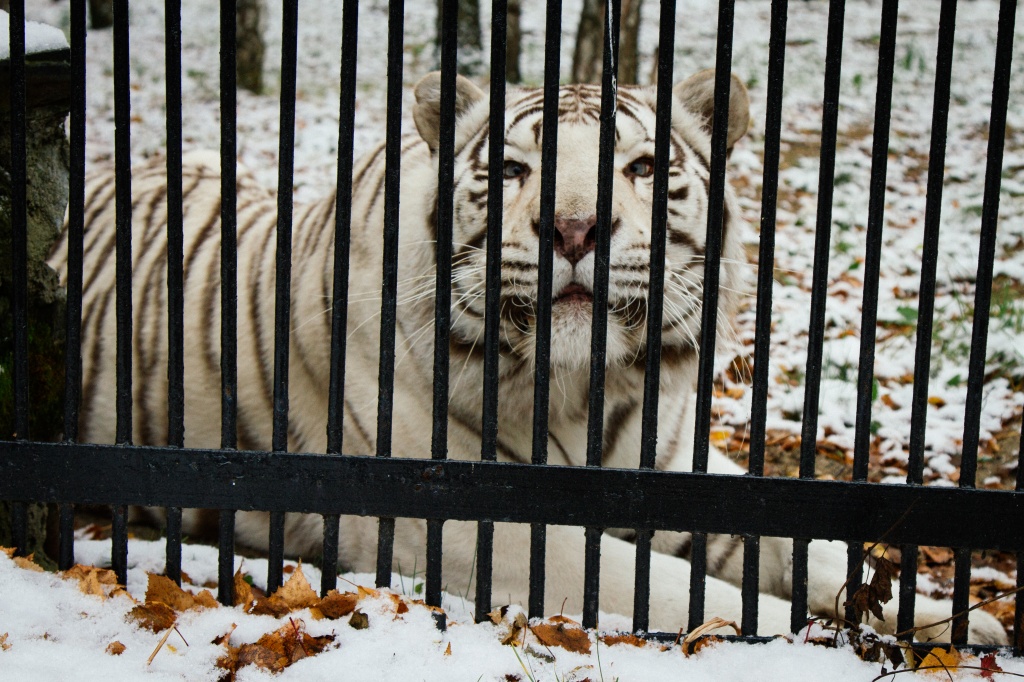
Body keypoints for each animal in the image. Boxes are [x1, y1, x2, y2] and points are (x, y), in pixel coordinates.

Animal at [49, 69, 1007, 643]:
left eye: (646, 168)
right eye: (509, 171)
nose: (575, 228)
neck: (592, 389)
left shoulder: (678, 476)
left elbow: (798, 546)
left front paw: (942, 620)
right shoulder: (471, 522)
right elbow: (670, 585)